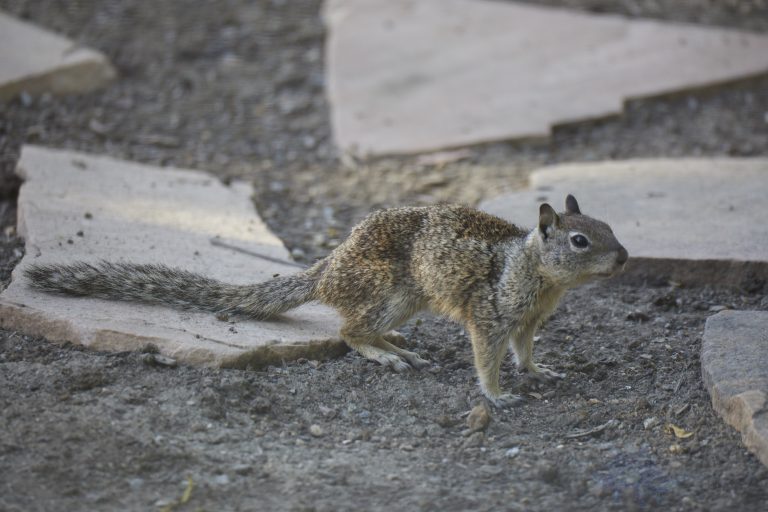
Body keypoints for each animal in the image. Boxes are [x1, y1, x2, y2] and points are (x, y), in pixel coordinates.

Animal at [25, 194, 627, 406]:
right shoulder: (490, 315)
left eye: (608, 225)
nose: (623, 258)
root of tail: (326, 270)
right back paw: (388, 354)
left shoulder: (528, 321)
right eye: (580, 240)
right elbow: (487, 358)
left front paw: (541, 370)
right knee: (348, 332)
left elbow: (526, 351)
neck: (538, 274)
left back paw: (400, 346)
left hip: (404, 300)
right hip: (388, 293)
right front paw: (498, 395)